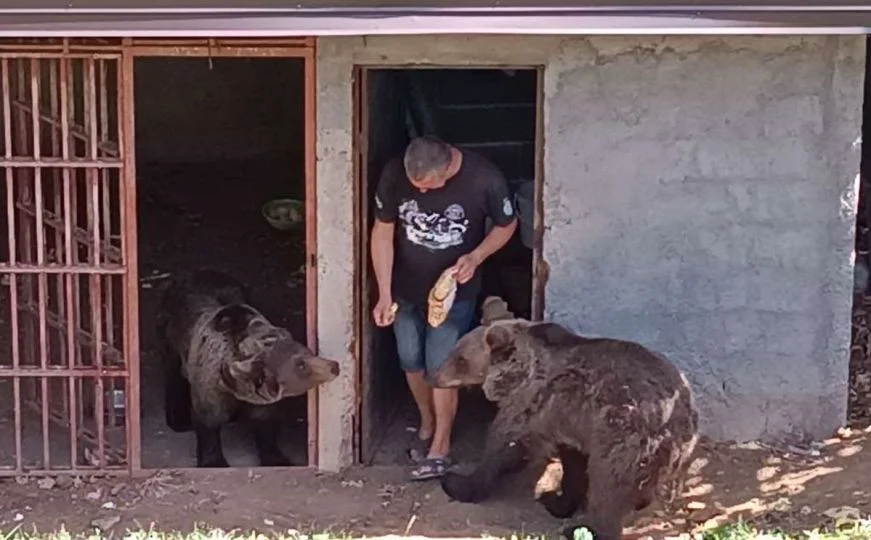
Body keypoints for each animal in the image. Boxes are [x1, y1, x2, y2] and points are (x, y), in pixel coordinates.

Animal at [155, 270, 338, 468]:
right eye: (302, 365)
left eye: (309, 352)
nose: (334, 366)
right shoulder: (210, 382)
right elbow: (208, 420)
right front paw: (213, 461)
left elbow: (265, 421)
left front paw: (276, 457)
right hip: (171, 335)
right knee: (174, 376)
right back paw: (179, 420)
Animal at [432, 298, 700, 540]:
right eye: (454, 351)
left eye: (460, 359)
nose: (435, 376)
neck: (515, 374)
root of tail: (680, 414)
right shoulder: (569, 420)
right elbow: (573, 465)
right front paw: (558, 500)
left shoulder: (533, 404)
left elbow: (503, 446)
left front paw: (458, 483)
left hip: (626, 433)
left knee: (608, 487)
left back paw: (587, 528)